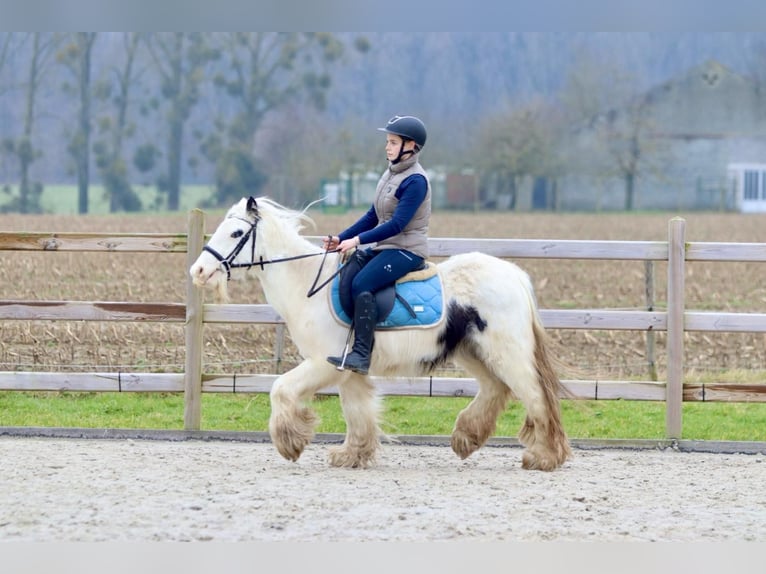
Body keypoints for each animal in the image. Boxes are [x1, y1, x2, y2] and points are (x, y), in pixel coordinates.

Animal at [188, 198, 568, 472]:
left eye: (236, 233)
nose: (199, 271)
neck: (307, 282)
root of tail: (515, 275)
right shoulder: (348, 369)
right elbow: (357, 412)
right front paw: (351, 455)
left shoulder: (323, 364)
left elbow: (280, 389)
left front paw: (290, 442)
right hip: (472, 352)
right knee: (495, 389)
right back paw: (466, 437)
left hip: (507, 354)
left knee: (536, 397)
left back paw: (544, 457)